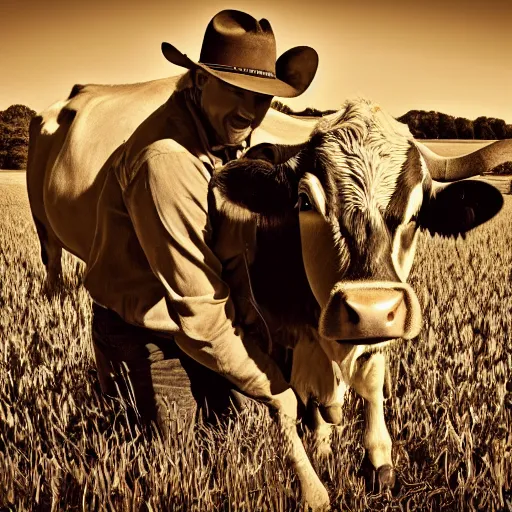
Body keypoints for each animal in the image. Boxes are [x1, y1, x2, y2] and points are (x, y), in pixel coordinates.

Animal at [27, 77, 512, 512]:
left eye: (415, 214)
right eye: (304, 202)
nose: (370, 310)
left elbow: (367, 384)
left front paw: (376, 462)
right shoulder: (264, 331)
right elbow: (284, 400)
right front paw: (314, 482)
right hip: (45, 230)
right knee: (54, 266)